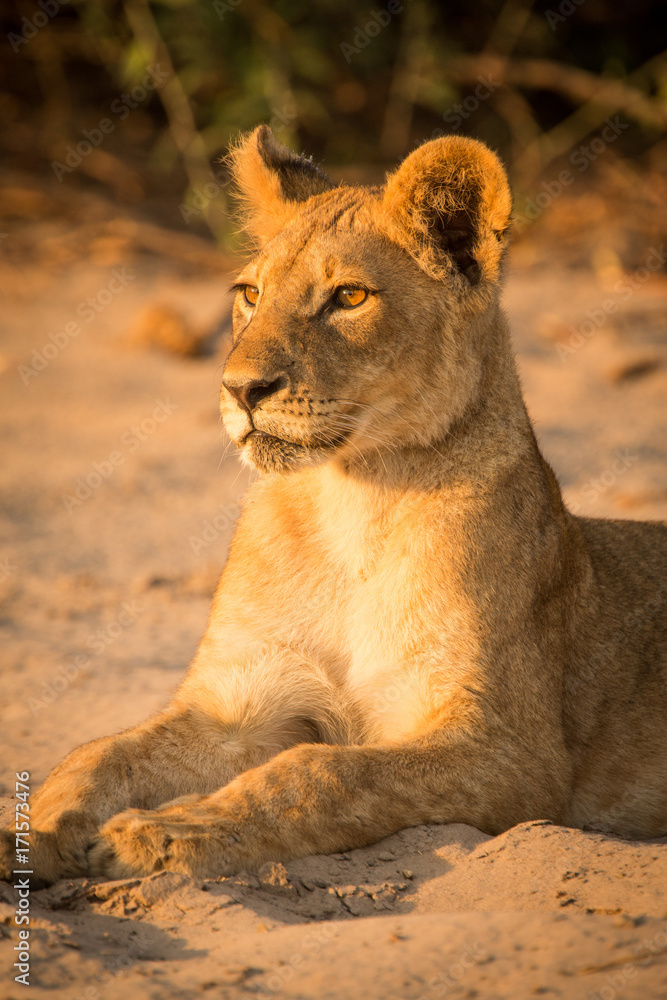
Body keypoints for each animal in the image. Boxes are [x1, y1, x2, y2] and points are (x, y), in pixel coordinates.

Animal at [2, 126, 666, 885]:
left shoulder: (513, 753)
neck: (353, 500)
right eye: (250, 293)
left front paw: (162, 830)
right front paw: (36, 826)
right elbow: (103, 751)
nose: (240, 388)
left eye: (348, 296)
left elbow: (317, 771)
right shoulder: (241, 703)